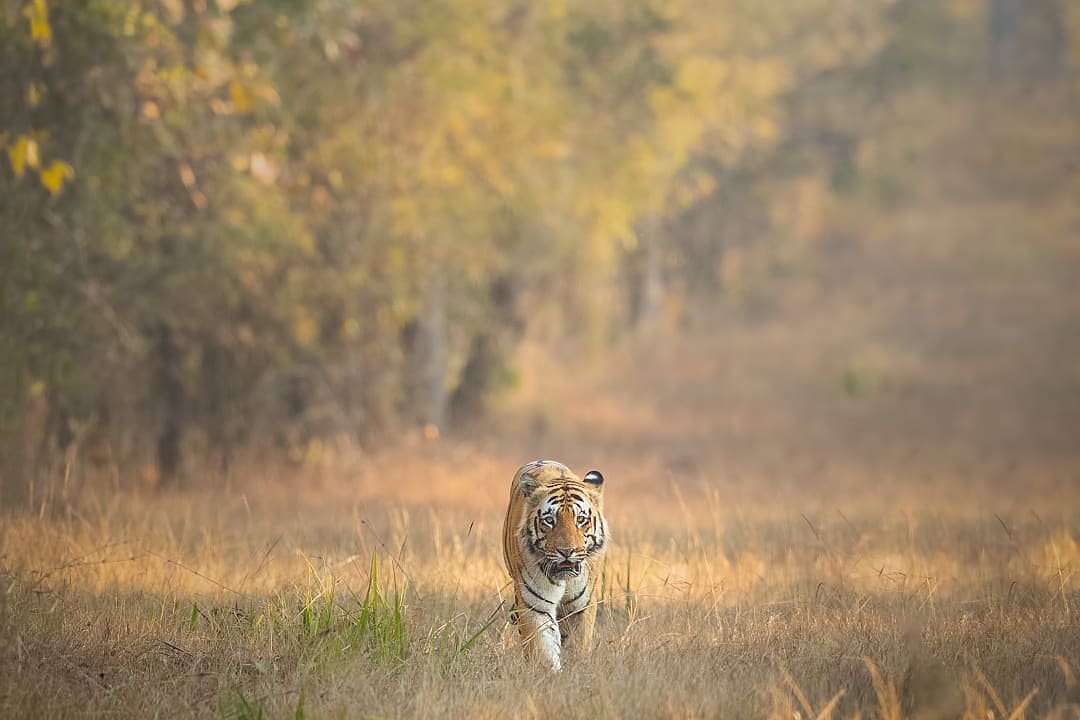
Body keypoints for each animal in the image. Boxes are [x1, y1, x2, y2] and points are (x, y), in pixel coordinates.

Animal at [502, 459, 608, 671]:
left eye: (580, 519)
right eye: (549, 520)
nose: (566, 551)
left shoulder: (580, 606)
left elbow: (578, 643)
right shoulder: (535, 604)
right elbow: (543, 647)